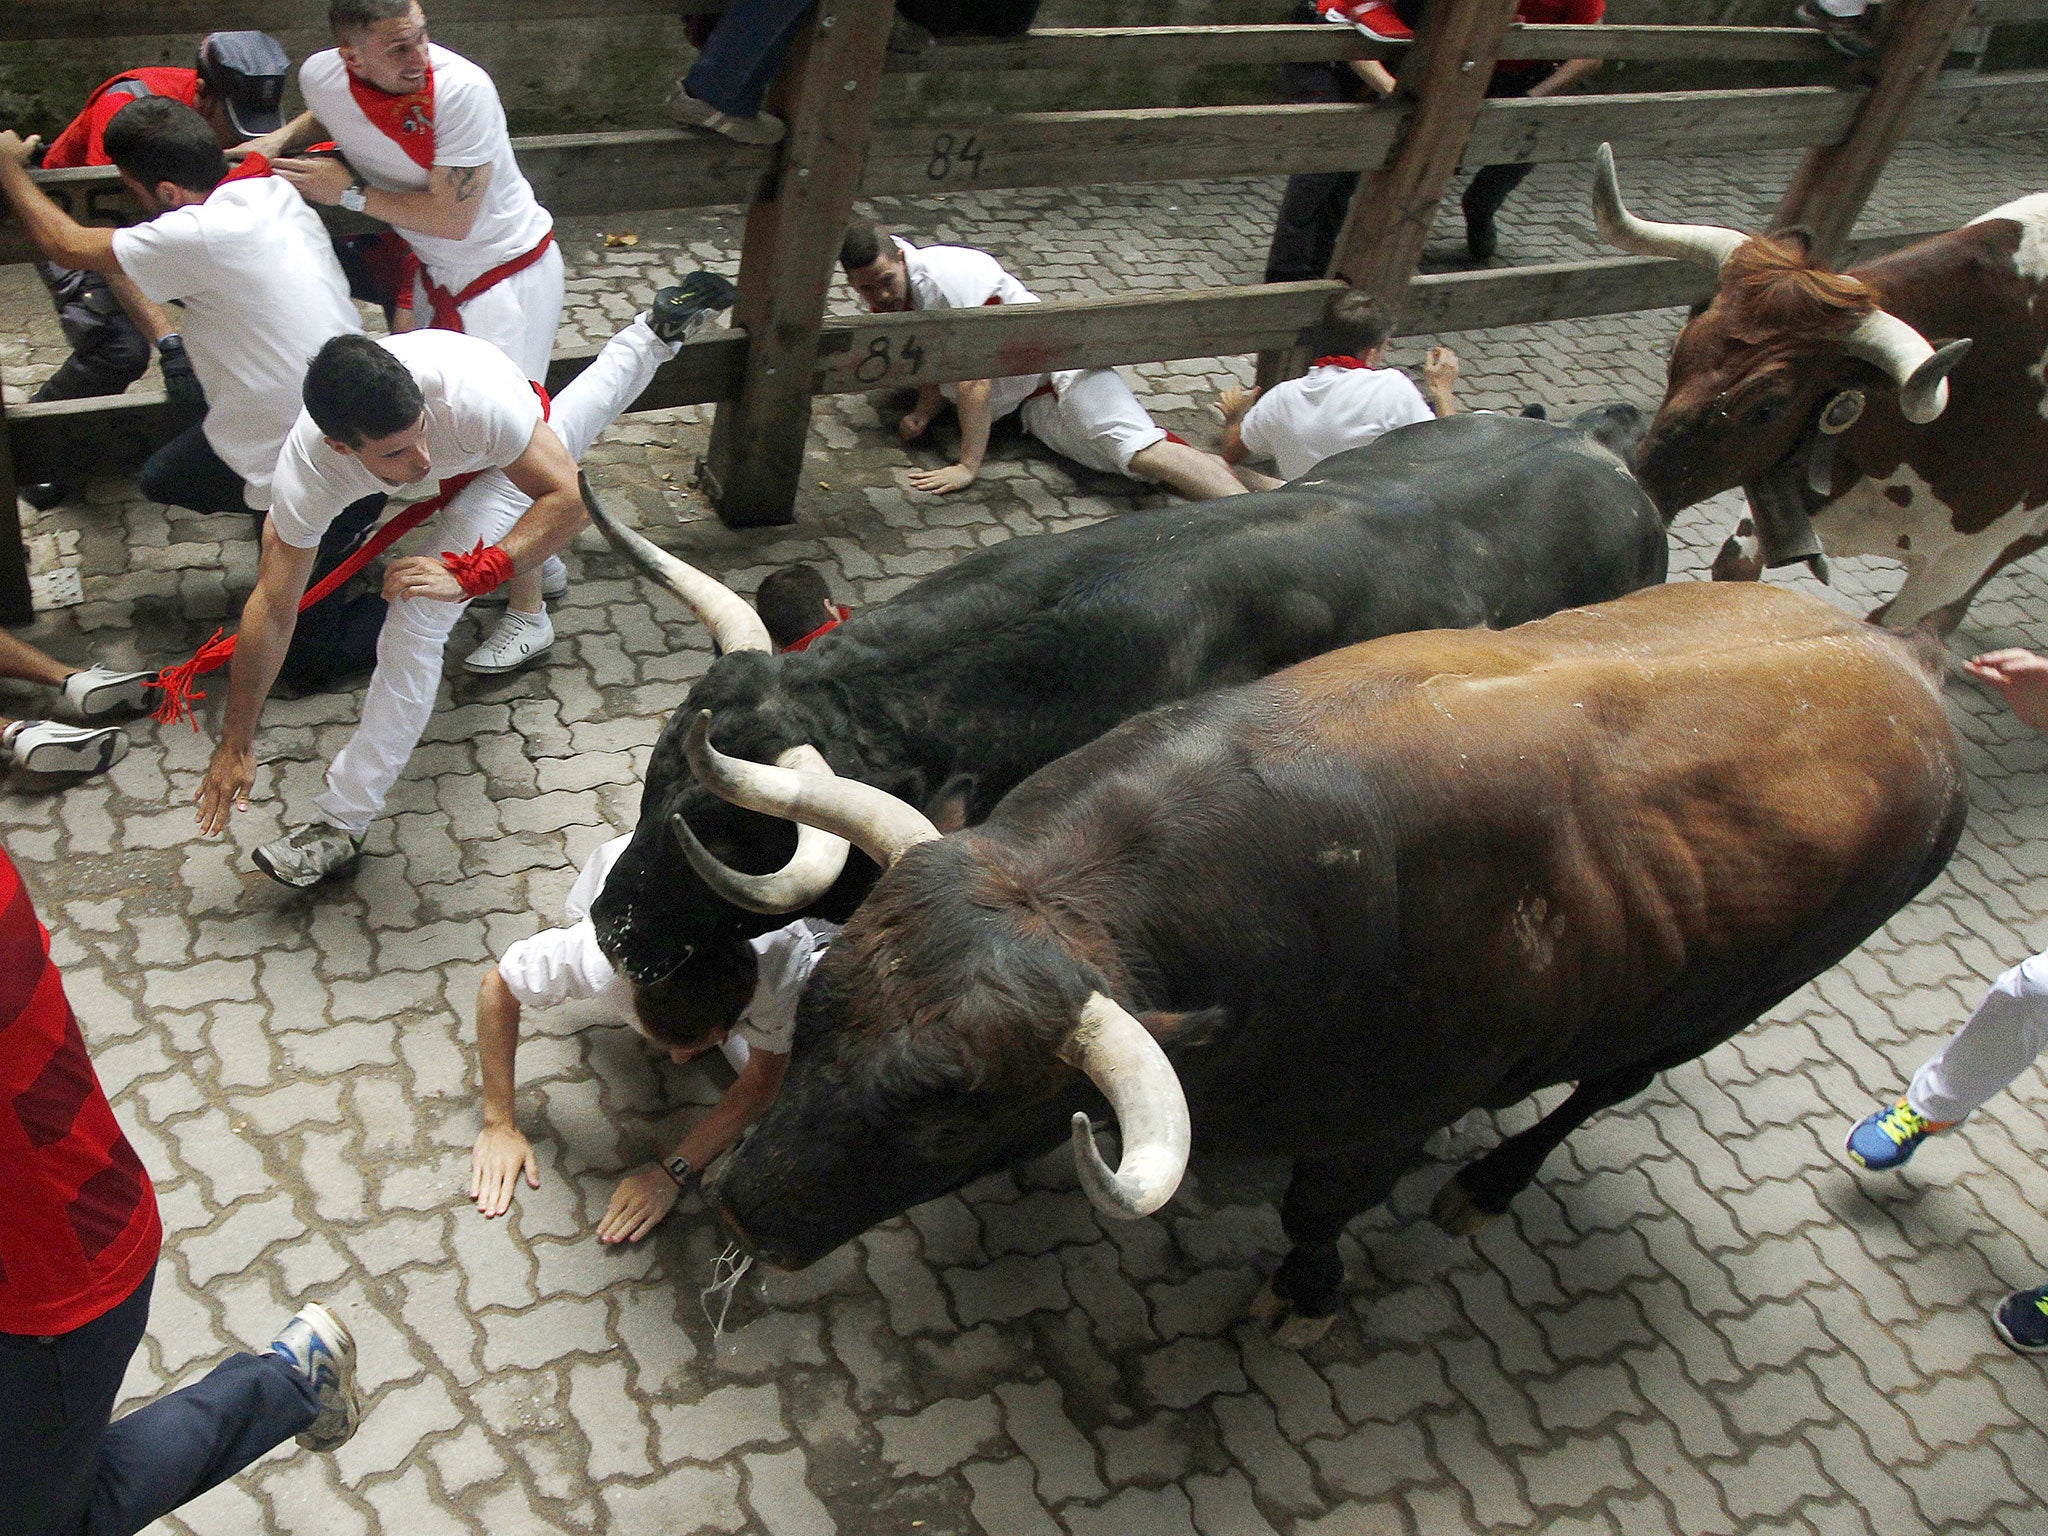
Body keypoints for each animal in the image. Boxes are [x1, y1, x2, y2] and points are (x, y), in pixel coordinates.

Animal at [708, 581, 1966, 1343]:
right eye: (813, 1014)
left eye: (949, 1119)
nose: (745, 1211)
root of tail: (1897, 655)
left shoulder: (1378, 1122)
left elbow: (1315, 1212)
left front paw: (1303, 1296)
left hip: (1715, 1003)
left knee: (1604, 1085)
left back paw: (1488, 1183)